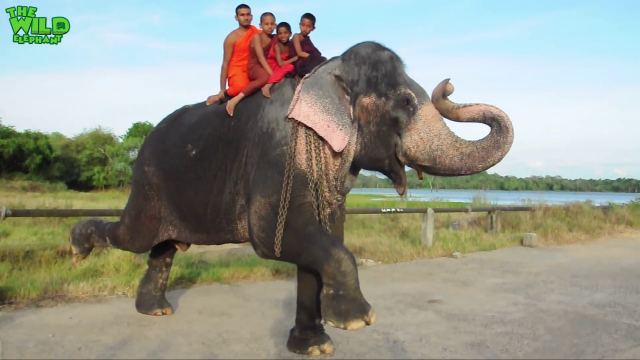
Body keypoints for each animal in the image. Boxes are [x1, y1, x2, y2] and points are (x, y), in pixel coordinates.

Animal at [67, 40, 512, 356]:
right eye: (404, 102)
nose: (448, 85)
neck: (326, 73)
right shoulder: (276, 153)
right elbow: (271, 237)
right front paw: (356, 321)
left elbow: (325, 238)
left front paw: (313, 346)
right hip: (148, 182)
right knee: (136, 237)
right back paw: (77, 245)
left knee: (165, 246)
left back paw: (155, 310)